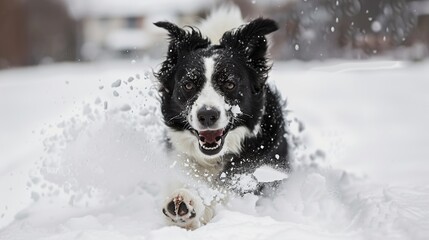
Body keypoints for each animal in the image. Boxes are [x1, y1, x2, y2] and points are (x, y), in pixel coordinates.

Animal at [153, 7, 288, 229]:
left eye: (229, 84)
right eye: (188, 85)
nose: (207, 115)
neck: (213, 160)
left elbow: (222, 194)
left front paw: (193, 204)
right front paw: (183, 198)